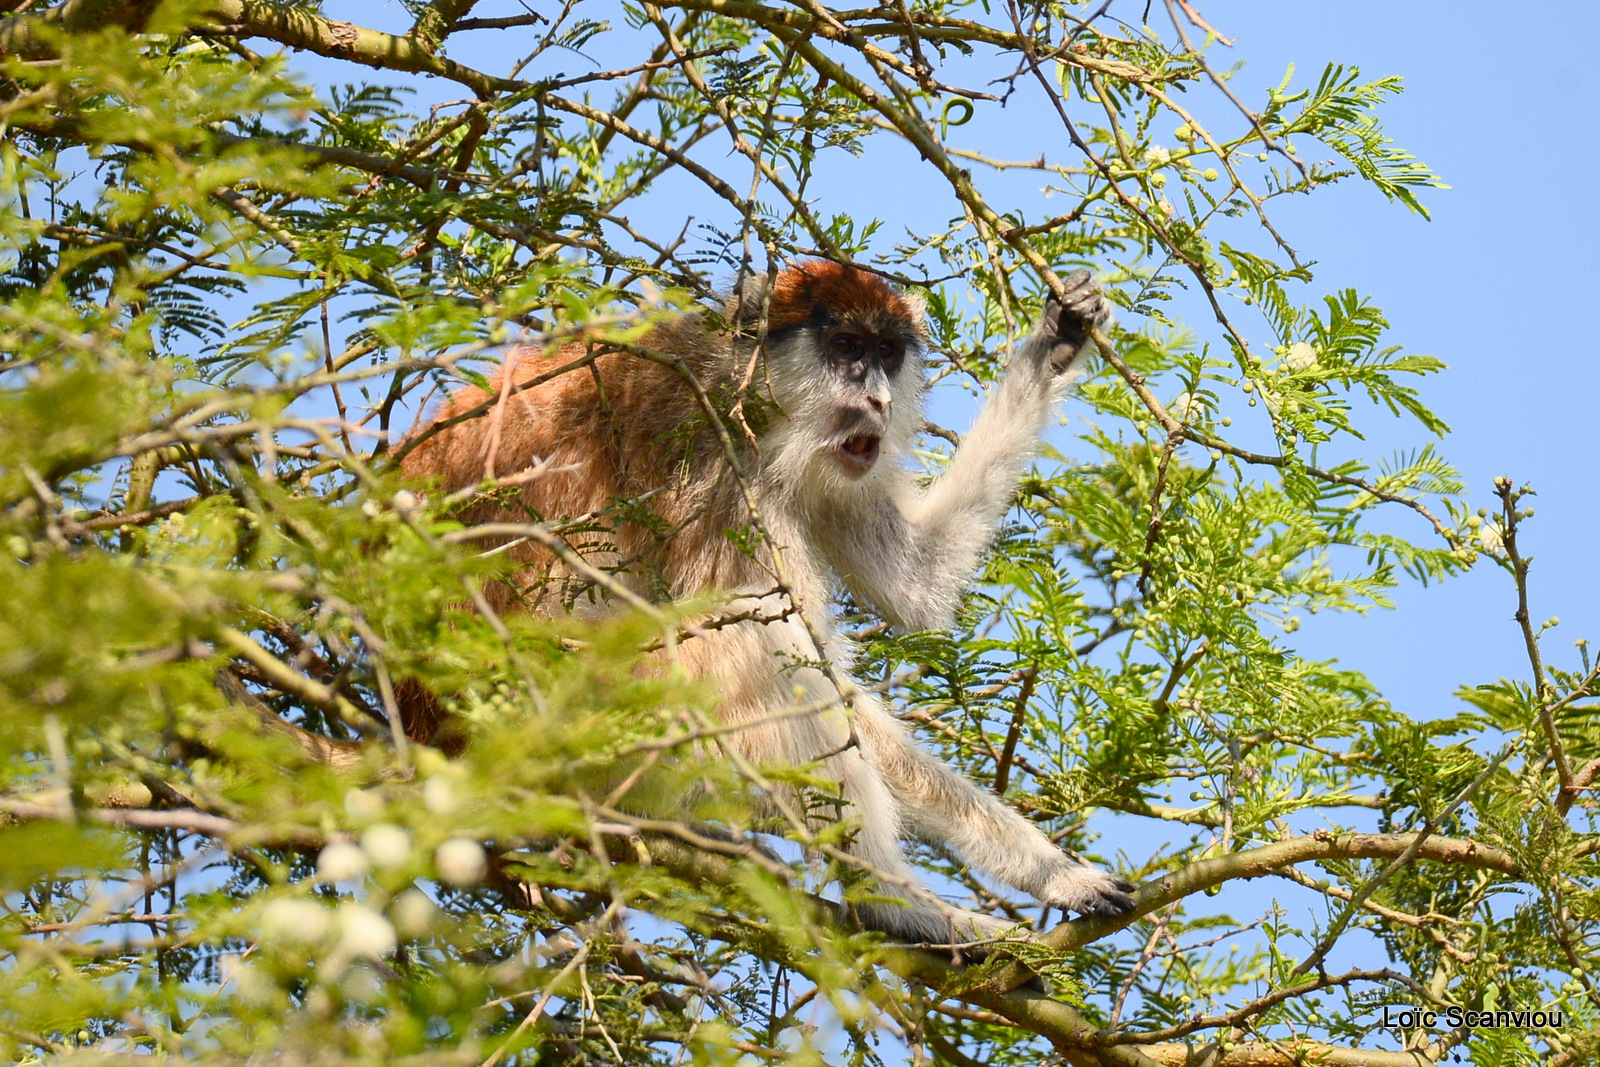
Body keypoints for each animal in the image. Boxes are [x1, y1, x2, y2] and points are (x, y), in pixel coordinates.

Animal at [406, 262, 1145, 940]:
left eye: (887, 353)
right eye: (845, 347)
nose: (877, 401)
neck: (736, 380)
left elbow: (916, 584)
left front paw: (1060, 337)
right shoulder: (720, 473)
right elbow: (798, 648)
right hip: (593, 710)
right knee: (763, 636)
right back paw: (893, 904)